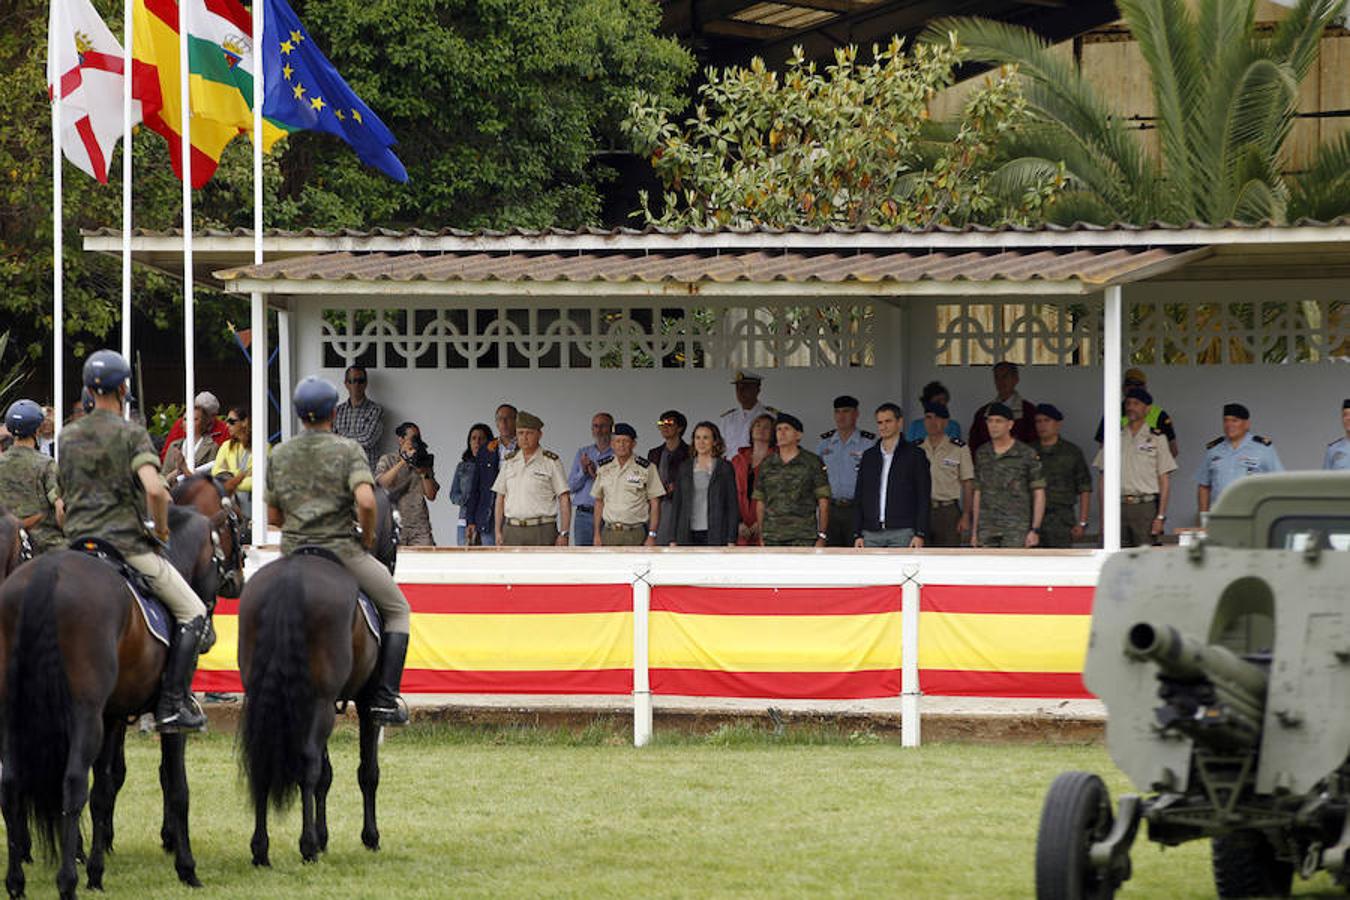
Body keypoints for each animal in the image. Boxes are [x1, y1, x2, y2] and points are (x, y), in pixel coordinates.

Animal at [0, 507, 225, 900]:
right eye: (220, 555)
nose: (209, 636)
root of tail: (48, 573)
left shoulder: (114, 716)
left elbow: (104, 789)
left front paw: (96, 871)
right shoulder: (167, 725)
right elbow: (177, 787)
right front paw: (187, 868)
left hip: (16, 713)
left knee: (11, 785)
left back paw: (17, 881)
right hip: (83, 717)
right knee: (72, 783)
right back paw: (66, 882)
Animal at [237, 488, 396, 868]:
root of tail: (291, 579)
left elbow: (326, 774)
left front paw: (324, 837)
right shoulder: (365, 702)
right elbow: (366, 771)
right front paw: (368, 837)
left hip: (272, 697)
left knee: (264, 761)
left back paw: (261, 849)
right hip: (321, 702)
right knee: (307, 763)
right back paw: (306, 846)